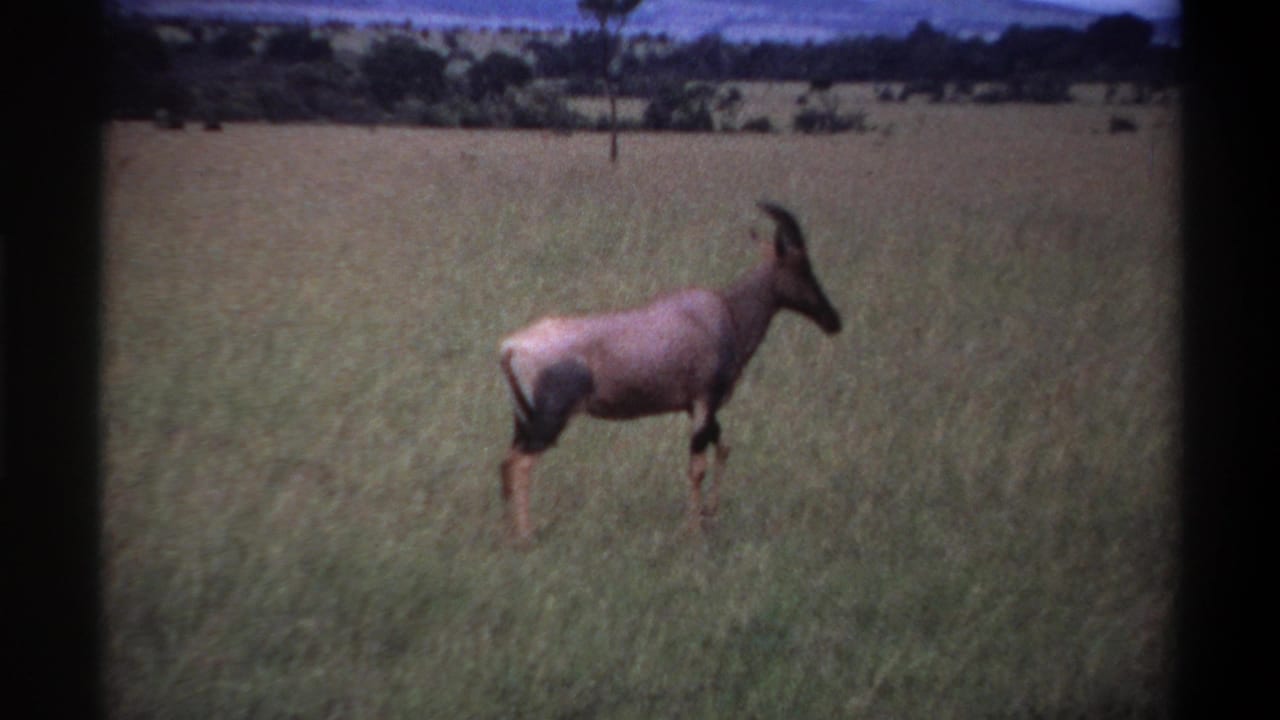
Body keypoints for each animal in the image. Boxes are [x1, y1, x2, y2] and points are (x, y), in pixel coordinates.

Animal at [498, 202, 842, 543]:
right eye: (802, 267)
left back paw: (510, 532)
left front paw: (709, 514)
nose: (833, 320)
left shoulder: (698, 407)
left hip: (523, 422)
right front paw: (693, 528)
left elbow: (723, 449)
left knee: (506, 462)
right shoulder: (704, 400)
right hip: (549, 422)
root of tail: (511, 347)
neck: (723, 313)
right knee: (522, 464)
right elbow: (698, 465)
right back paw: (526, 535)